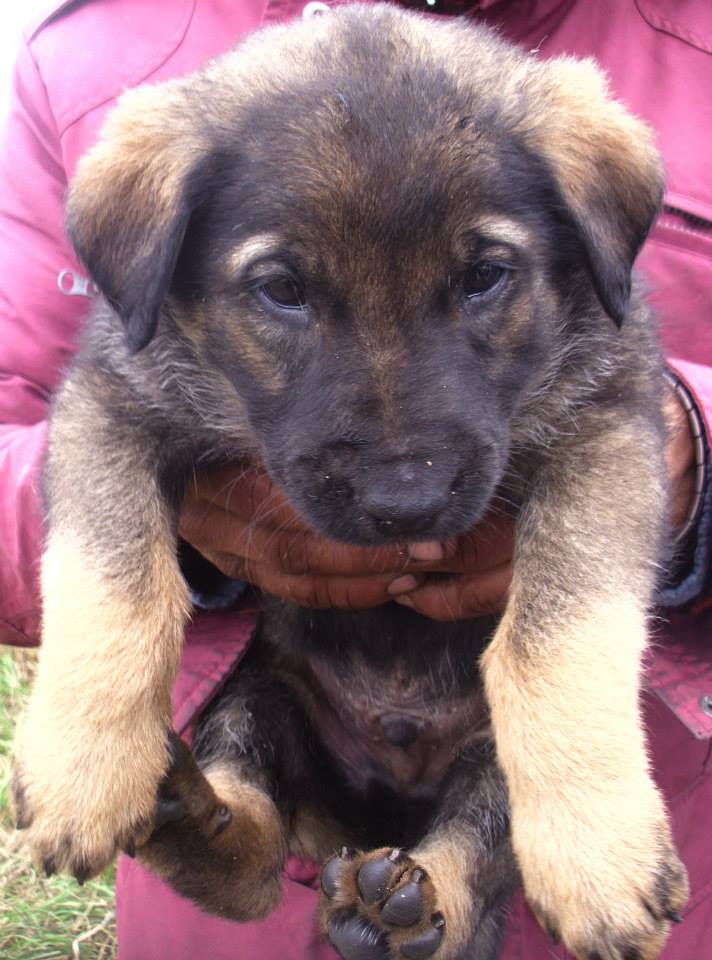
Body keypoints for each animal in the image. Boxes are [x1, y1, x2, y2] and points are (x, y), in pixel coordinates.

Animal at [11, 7, 688, 960]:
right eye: (283, 290)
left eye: (485, 277)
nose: (405, 505)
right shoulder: (109, 403)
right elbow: (113, 579)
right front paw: (84, 766)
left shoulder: (612, 424)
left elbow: (557, 633)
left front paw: (598, 849)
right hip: (261, 692)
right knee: (256, 858)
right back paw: (190, 819)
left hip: (475, 772)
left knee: (467, 877)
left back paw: (395, 904)